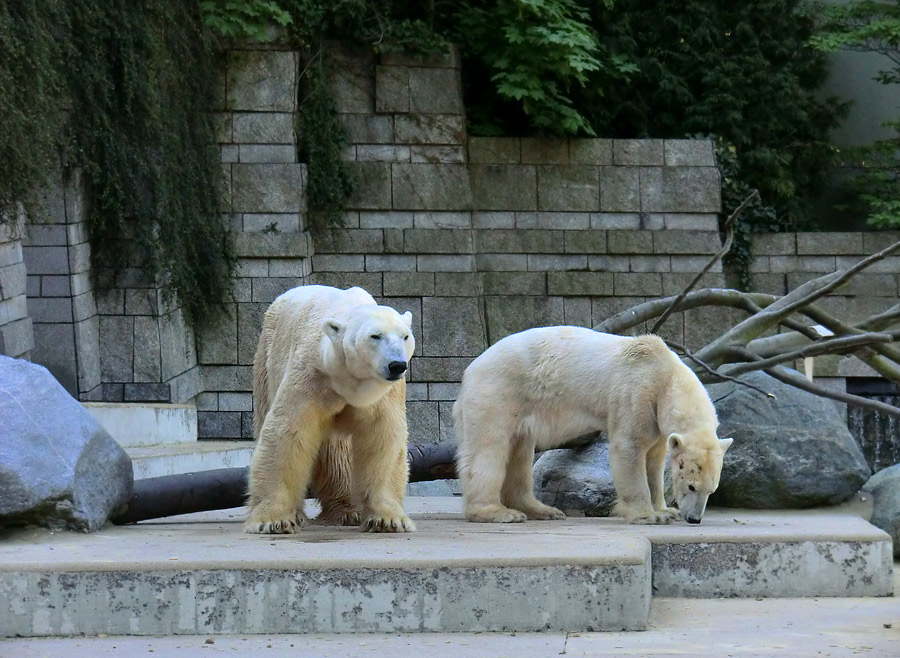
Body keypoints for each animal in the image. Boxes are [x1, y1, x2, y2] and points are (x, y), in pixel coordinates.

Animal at [244, 284, 416, 532]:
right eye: (375, 336)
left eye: (405, 336)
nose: (396, 365)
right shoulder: (312, 375)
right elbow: (287, 433)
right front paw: (273, 520)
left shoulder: (383, 393)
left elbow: (383, 438)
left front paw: (388, 520)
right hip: (266, 359)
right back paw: (305, 514)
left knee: (338, 454)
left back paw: (348, 511)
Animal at [458, 326, 732, 524]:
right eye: (691, 486)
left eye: (712, 490)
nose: (694, 519)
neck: (664, 374)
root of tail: (471, 368)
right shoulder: (636, 393)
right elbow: (630, 448)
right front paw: (647, 515)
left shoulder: (657, 418)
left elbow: (655, 461)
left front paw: (666, 511)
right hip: (500, 393)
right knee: (490, 449)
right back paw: (497, 513)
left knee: (520, 450)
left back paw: (542, 510)